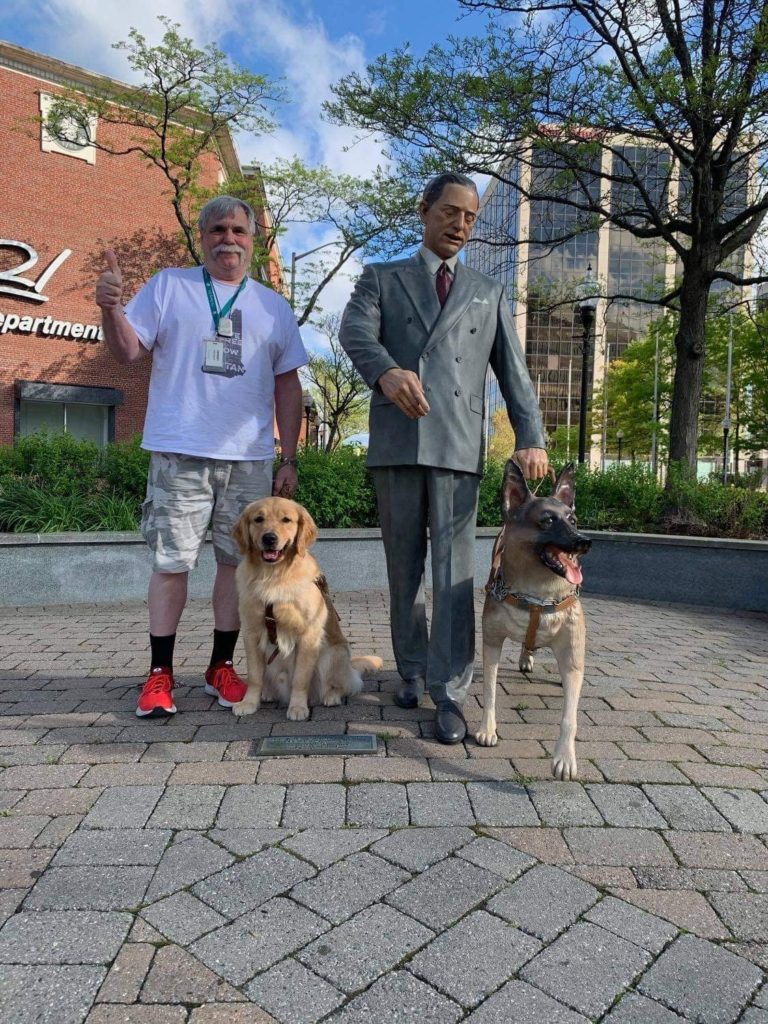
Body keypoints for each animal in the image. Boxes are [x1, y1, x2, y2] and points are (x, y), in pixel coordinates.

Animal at [230, 495, 382, 720]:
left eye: (286, 520)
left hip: (333, 654)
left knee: (344, 685)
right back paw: (267, 693)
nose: (269, 538)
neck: (273, 578)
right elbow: (255, 676)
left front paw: (298, 707)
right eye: (258, 519)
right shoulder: (251, 633)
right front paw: (249, 702)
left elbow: (300, 679)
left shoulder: (308, 635)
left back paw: (331, 696)